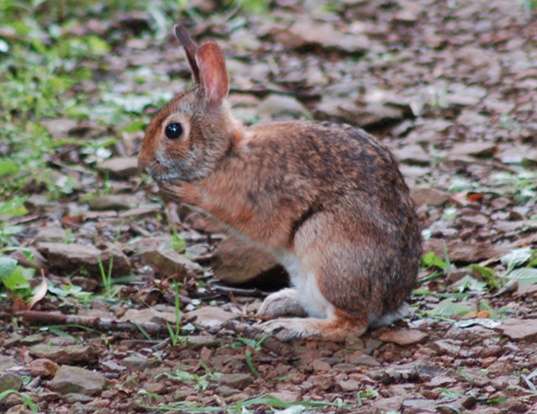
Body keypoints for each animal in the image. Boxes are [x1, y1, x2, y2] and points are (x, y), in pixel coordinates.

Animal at [138, 26, 422, 342]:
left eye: (173, 130)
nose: (143, 162)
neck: (226, 154)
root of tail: (390, 304)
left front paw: (181, 190)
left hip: (326, 248)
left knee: (351, 323)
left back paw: (290, 326)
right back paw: (279, 302)